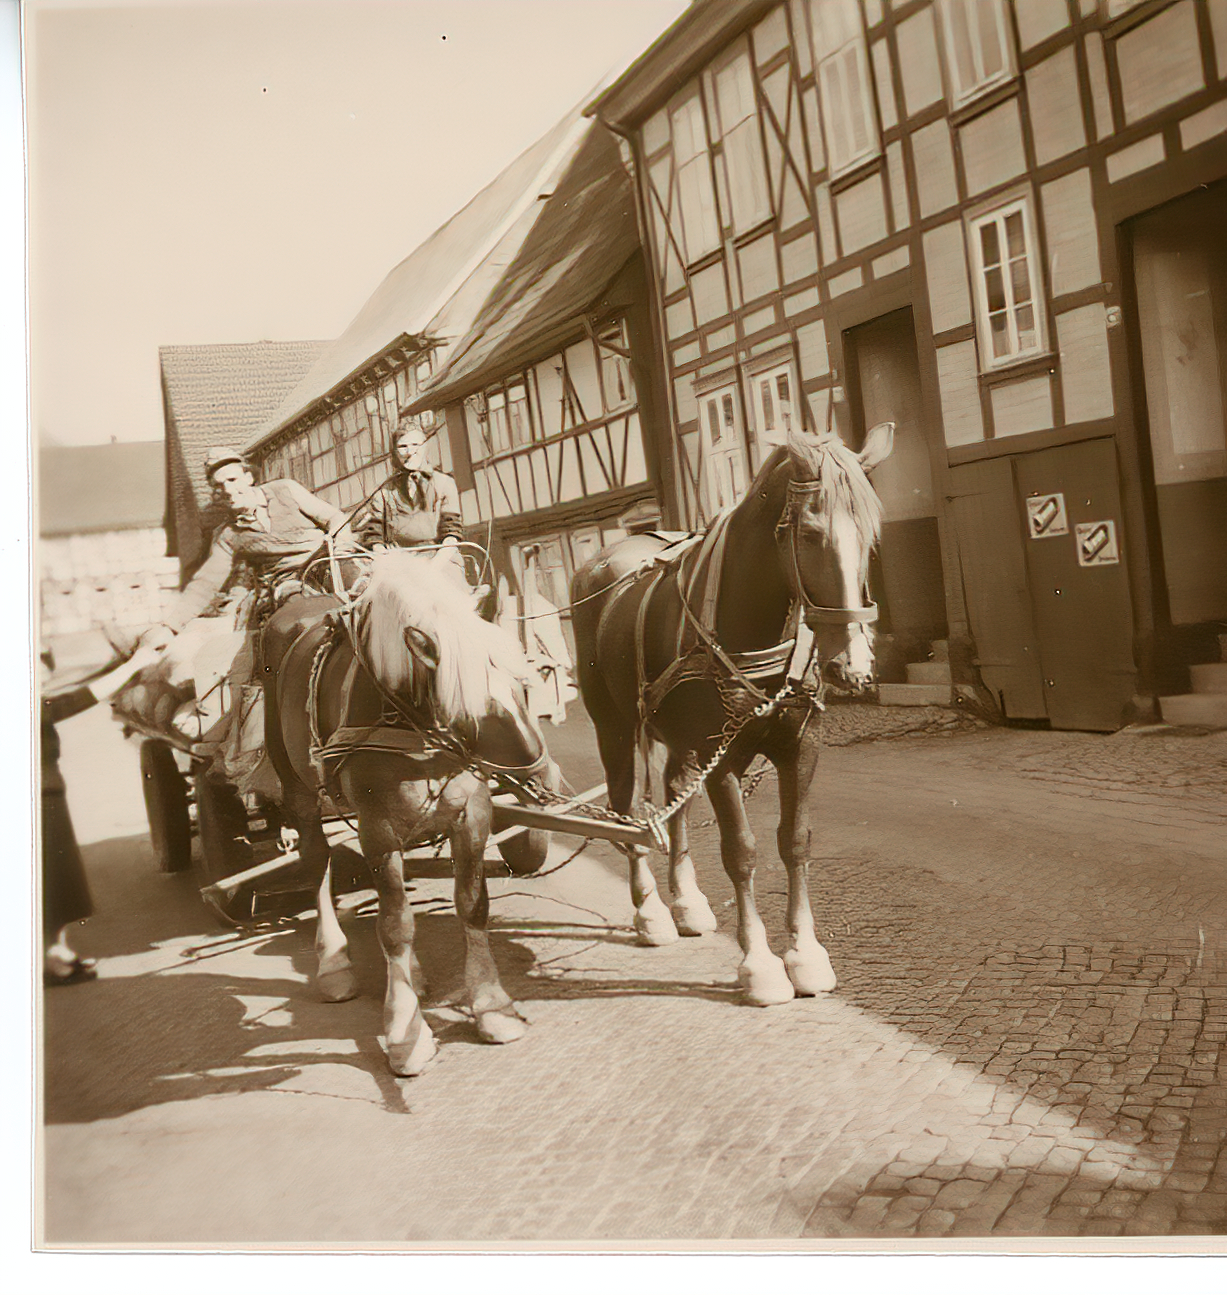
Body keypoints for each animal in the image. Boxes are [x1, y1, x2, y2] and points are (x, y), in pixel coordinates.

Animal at [262, 550, 558, 1076]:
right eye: (472, 711)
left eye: (524, 687)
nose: (543, 781)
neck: (406, 715)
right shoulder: (376, 828)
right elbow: (395, 925)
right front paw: (405, 1031)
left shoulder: (471, 811)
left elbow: (472, 905)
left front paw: (492, 1005)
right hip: (297, 789)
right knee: (318, 864)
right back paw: (334, 962)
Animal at [571, 423, 893, 1007]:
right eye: (810, 534)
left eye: (871, 537)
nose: (852, 666)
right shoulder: (718, 754)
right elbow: (741, 852)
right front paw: (760, 965)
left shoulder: (799, 746)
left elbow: (795, 841)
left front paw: (805, 955)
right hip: (615, 727)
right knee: (627, 808)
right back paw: (650, 911)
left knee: (672, 794)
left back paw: (686, 901)